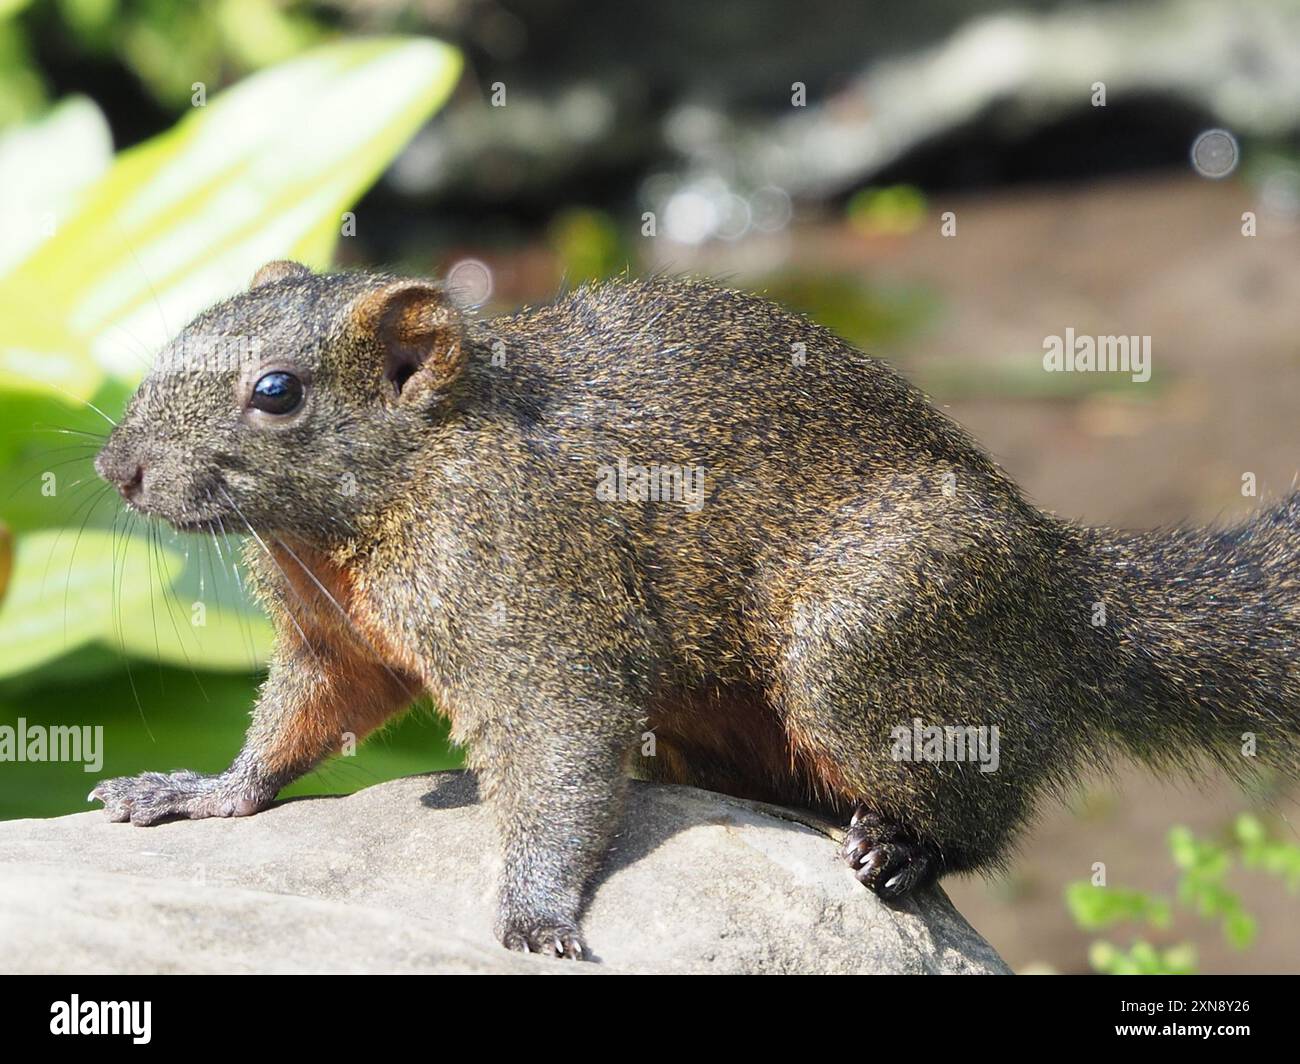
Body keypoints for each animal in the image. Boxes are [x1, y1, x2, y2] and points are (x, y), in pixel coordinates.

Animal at [91, 261, 1300, 957]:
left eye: (277, 392)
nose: (113, 467)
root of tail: (1064, 589)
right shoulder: (335, 639)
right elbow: (302, 718)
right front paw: (199, 790)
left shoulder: (528, 582)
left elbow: (560, 737)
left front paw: (535, 912)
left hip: (869, 634)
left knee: (981, 809)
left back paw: (899, 847)